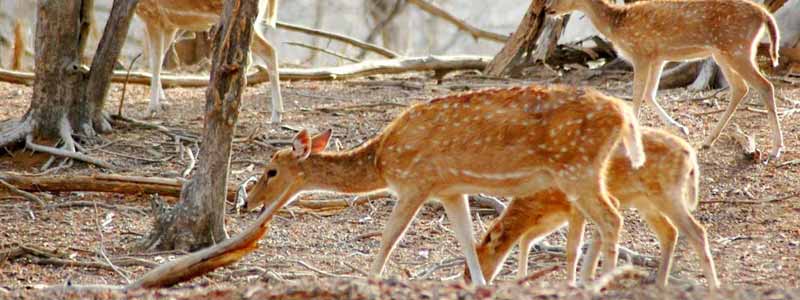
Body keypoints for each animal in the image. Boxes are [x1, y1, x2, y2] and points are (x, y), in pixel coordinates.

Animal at [137, 0, 284, 123]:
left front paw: (151, 109)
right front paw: (163, 102)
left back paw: (276, 115)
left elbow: (155, 62)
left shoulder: (152, 13)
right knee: (252, 57)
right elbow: (157, 59)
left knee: (269, 50)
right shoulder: (169, 23)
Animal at [242, 85, 644, 286]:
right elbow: (466, 238)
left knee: (612, 217)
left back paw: (605, 280)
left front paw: (369, 279)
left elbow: (389, 236)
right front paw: (479, 284)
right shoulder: (450, 189)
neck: (382, 161)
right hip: (585, 170)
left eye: (271, 171)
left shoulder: (416, 182)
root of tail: (623, 114)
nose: (247, 201)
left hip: (577, 167)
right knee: (606, 217)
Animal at [466, 127, 720, 290]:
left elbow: (573, 247)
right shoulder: (560, 214)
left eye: (474, 265)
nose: (467, 282)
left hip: (668, 194)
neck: (542, 200)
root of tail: (690, 156)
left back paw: (713, 286)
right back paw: (659, 283)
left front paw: (573, 282)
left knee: (697, 231)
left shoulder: (575, 207)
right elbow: (530, 238)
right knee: (669, 232)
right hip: (646, 201)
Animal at [548, 0, 784, 161]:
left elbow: (637, 96)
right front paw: (680, 128)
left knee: (765, 85)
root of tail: (764, 14)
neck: (617, 25)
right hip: (724, 52)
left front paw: (627, 144)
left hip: (737, 49)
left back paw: (776, 149)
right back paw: (708, 141)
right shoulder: (658, 57)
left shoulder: (641, 54)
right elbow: (649, 94)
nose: (548, 9)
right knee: (740, 88)